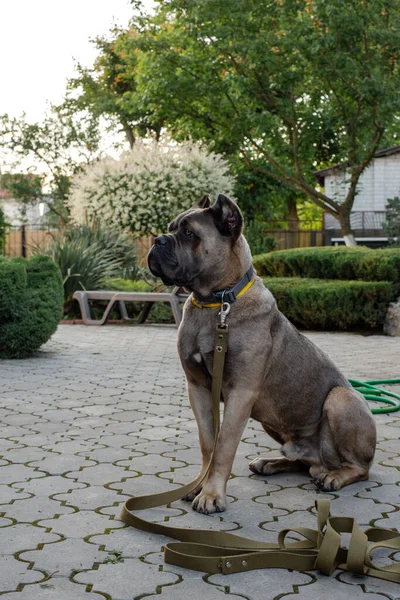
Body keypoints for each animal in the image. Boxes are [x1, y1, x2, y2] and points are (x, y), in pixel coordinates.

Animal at [147, 195, 376, 512]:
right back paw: (271, 462)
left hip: (342, 399)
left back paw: (334, 477)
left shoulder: (240, 393)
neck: (216, 304)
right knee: (305, 462)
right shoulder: (197, 387)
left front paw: (212, 494)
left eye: (189, 233)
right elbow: (208, 442)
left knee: (359, 468)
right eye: (170, 228)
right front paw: (200, 484)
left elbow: (223, 446)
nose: (157, 240)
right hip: (274, 420)